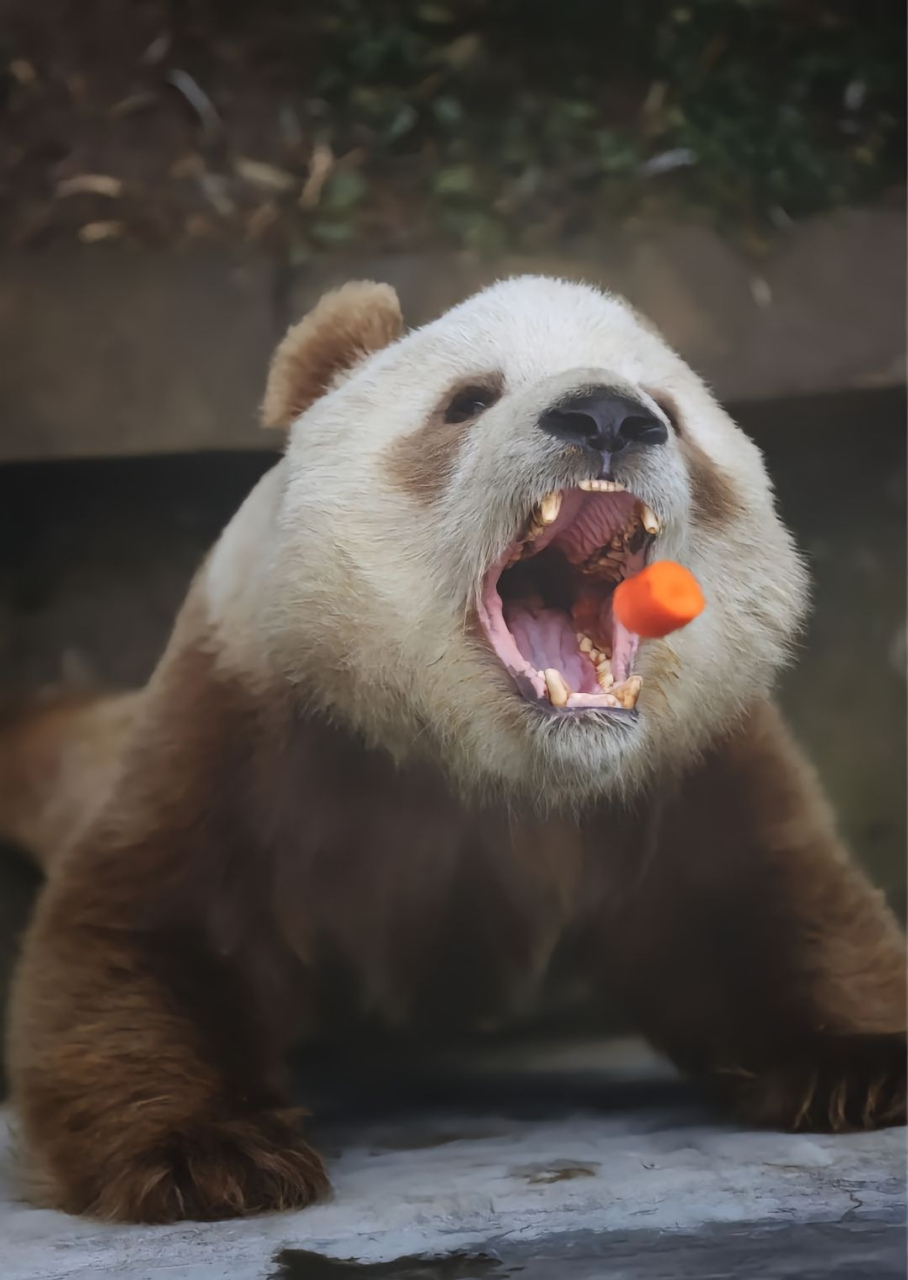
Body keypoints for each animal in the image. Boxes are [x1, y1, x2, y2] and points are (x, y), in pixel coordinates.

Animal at [2, 276, 904, 1224]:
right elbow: (151, 931)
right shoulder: (247, 722)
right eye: (469, 399)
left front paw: (863, 1065)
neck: (493, 761)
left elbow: (761, 901)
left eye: (668, 408)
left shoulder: (688, 764)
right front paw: (210, 1155)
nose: (610, 417)